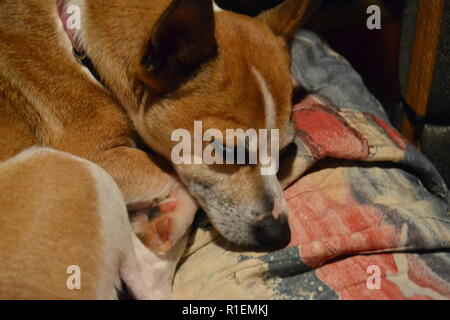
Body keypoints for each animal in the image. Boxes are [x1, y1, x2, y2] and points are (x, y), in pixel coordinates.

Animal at [0, 0, 314, 300]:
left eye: (286, 149)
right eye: (225, 150)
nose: (280, 235)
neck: (82, 50)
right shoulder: (96, 154)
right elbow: (171, 176)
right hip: (73, 169)